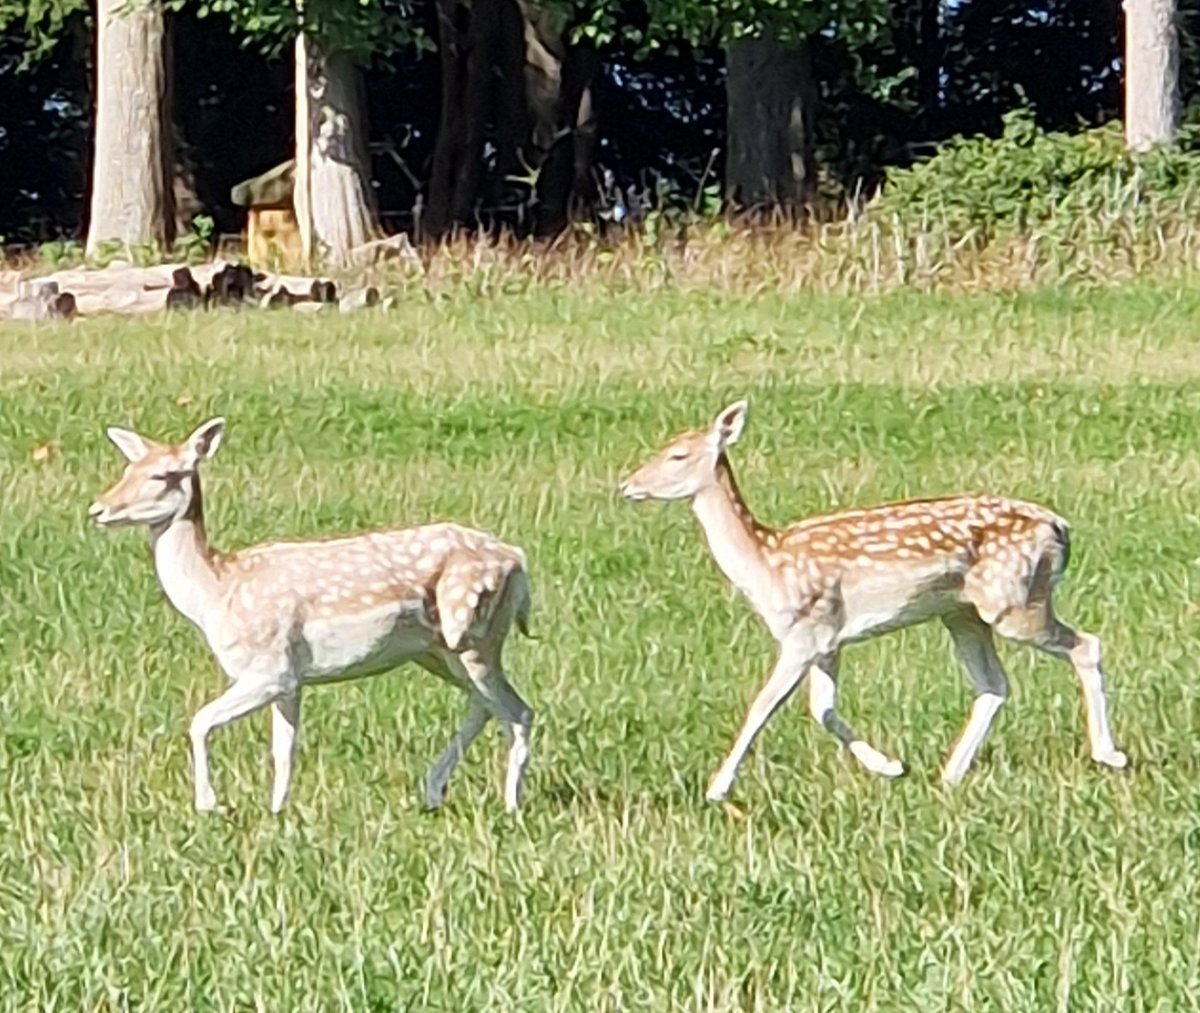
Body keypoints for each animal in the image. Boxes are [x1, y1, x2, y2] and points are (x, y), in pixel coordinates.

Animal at [88, 417, 535, 815]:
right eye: (128, 468)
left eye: (163, 474)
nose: (98, 509)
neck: (216, 593)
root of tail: (518, 560)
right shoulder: (291, 679)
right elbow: (284, 749)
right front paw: (277, 812)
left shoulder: (270, 668)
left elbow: (200, 721)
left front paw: (208, 804)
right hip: (438, 651)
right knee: (485, 705)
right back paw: (434, 791)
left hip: (475, 634)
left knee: (518, 711)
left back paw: (511, 807)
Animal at [620, 399, 1128, 805]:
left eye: (678, 455)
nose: (627, 484)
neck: (767, 564)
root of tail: (1061, 528)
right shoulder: (828, 640)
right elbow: (822, 709)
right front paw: (891, 766)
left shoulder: (805, 631)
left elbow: (763, 705)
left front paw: (717, 788)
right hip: (962, 612)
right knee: (994, 684)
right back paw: (950, 774)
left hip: (1014, 601)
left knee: (1086, 644)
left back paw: (1109, 754)